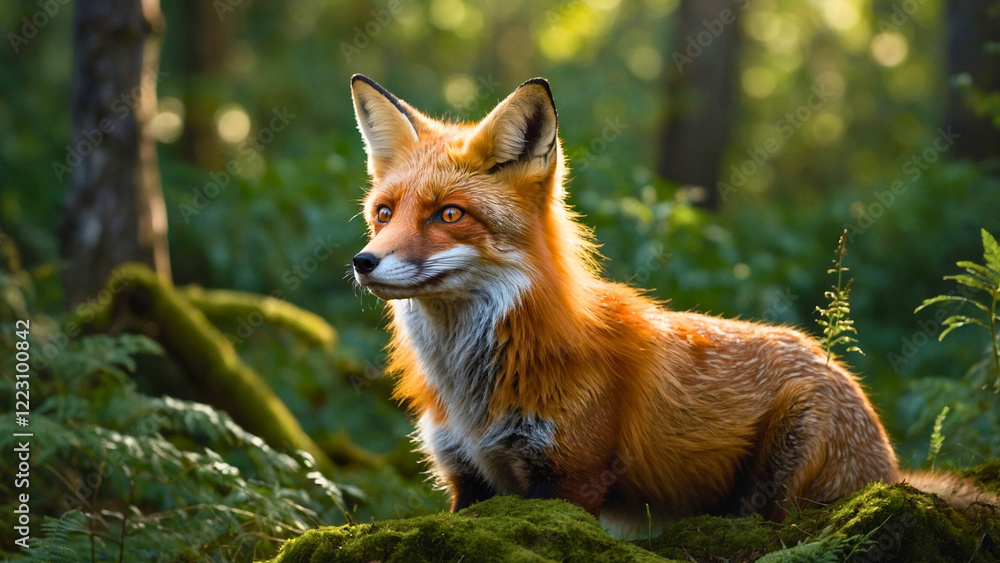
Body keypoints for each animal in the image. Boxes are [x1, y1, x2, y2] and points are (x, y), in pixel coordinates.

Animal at [348, 73, 995, 531]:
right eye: (384, 213)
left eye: (449, 215)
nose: (363, 261)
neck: (472, 391)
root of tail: (890, 469)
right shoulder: (468, 480)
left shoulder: (571, 477)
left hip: (788, 459)